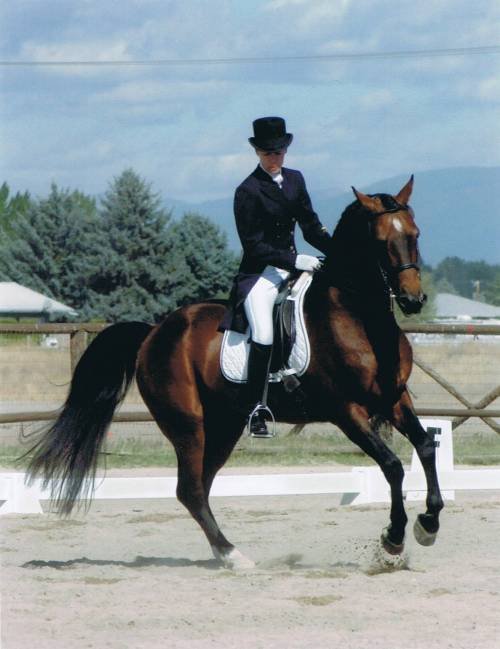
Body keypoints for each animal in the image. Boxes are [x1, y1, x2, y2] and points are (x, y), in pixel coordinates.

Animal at [25, 176, 443, 569]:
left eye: (415, 234)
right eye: (380, 241)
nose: (413, 299)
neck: (358, 318)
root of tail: (154, 332)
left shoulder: (393, 398)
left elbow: (425, 445)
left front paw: (428, 524)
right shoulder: (346, 411)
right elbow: (392, 465)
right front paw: (393, 539)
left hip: (223, 426)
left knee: (199, 487)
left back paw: (224, 553)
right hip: (188, 424)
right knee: (190, 489)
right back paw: (233, 555)